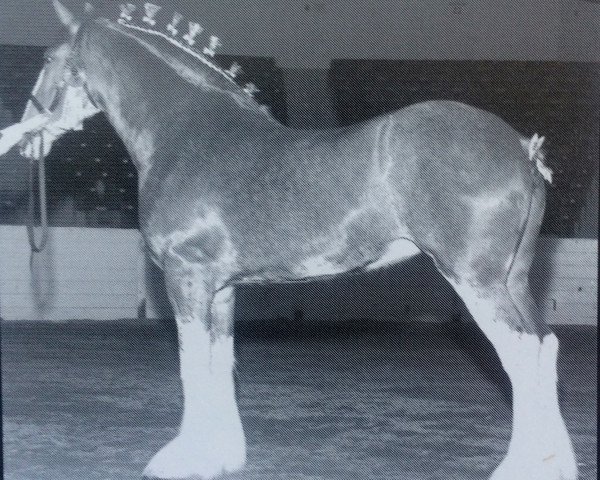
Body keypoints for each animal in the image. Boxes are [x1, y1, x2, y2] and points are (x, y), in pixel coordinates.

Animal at [18, 1, 580, 478]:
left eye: (46, 59)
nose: (24, 139)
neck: (185, 132)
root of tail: (523, 150)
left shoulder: (187, 277)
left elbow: (192, 367)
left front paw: (183, 461)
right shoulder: (221, 289)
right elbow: (220, 363)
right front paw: (223, 457)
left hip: (475, 281)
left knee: (523, 357)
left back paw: (519, 468)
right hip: (513, 280)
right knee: (546, 348)